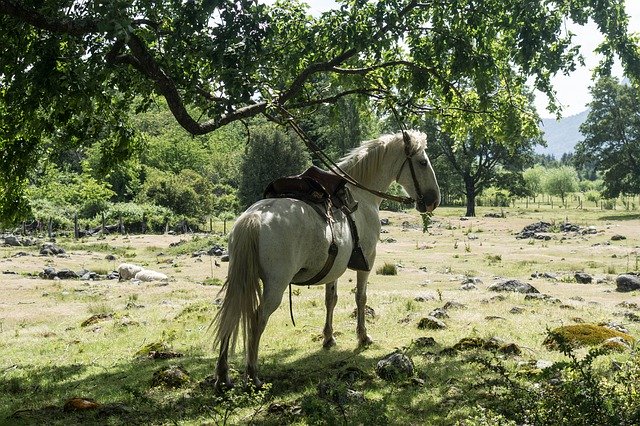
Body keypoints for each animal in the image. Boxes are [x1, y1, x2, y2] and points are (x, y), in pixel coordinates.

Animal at [212, 131, 438, 390]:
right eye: (422, 162)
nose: (433, 200)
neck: (362, 196)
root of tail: (254, 217)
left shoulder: (334, 268)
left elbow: (331, 299)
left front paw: (328, 338)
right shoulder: (367, 259)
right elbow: (360, 298)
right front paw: (363, 337)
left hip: (241, 280)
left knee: (232, 313)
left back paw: (223, 375)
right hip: (275, 285)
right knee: (258, 318)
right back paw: (253, 374)